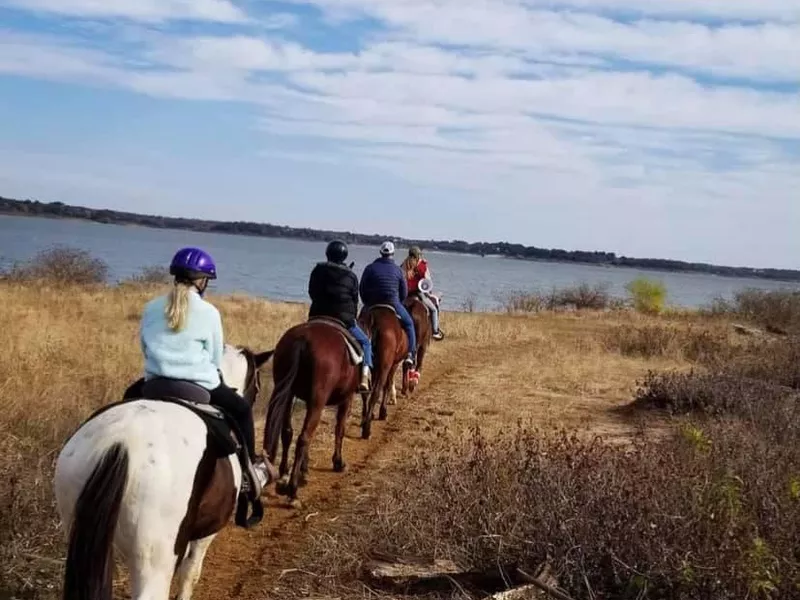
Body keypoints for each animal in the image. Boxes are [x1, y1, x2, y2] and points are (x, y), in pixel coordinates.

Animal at [262, 318, 366, 502]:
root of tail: (302, 339)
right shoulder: (346, 399)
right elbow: (340, 429)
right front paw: (338, 462)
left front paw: (304, 468)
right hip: (318, 399)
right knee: (303, 437)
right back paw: (293, 489)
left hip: (287, 392)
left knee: (287, 432)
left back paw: (284, 474)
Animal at [356, 308, 406, 438]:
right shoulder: (393, 364)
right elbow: (387, 384)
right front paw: (383, 412)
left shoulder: (375, 368)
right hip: (385, 366)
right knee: (376, 392)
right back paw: (367, 429)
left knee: (367, 390)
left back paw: (365, 419)